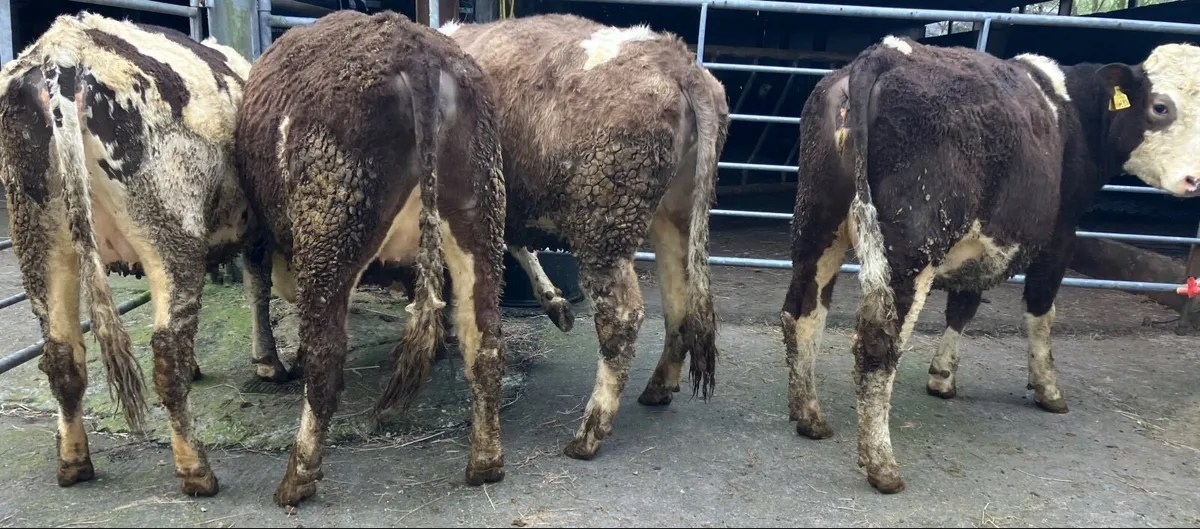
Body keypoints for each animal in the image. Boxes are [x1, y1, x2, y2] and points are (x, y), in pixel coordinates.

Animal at [0, 13, 251, 496]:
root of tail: (63, 50)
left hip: (37, 237)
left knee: (63, 355)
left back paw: (73, 464)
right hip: (170, 231)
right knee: (167, 349)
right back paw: (197, 471)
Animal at [234, 10, 507, 507]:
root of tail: (418, 54)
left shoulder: (258, 225)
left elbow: (256, 282)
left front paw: (268, 362)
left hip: (333, 221)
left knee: (326, 356)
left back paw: (297, 478)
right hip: (480, 215)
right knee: (485, 342)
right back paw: (485, 462)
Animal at [438, 13, 730, 460]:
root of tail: (677, 60)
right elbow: (518, 244)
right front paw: (554, 303)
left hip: (604, 223)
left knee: (622, 317)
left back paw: (590, 432)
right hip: (673, 212)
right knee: (679, 300)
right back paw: (658, 387)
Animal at [782, 35, 1200, 494]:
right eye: (1160, 107)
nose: (1194, 180)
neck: (1073, 108)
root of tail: (885, 53)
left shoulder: (979, 246)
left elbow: (963, 307)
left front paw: (942, 376)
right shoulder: (1060, 235)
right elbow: (1041, 310)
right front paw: (1048, 389)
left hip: (817, 224)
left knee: (801, 312)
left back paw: (810, 417)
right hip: (911, 247)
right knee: (877, 345)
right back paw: (882, 466)